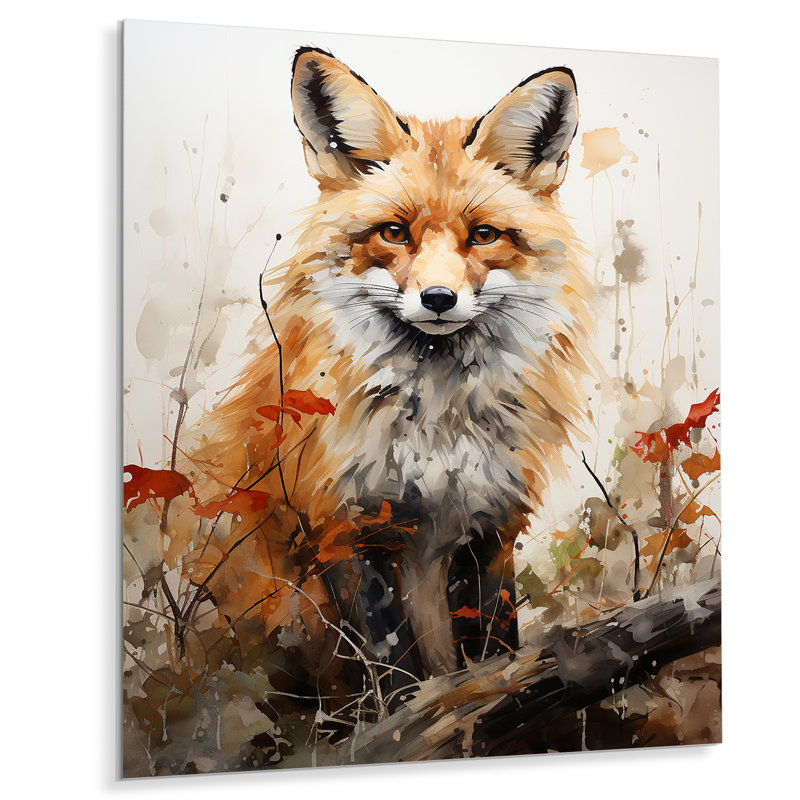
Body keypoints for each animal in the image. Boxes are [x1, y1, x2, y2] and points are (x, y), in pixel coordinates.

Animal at [177, 47, 592, 706]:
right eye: (394, 232)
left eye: (483, 235)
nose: (439, 298)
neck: (437, 427)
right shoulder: (345, 527)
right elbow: (391, 669)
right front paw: (402, 720)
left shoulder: (491, 525)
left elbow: (493, 651)